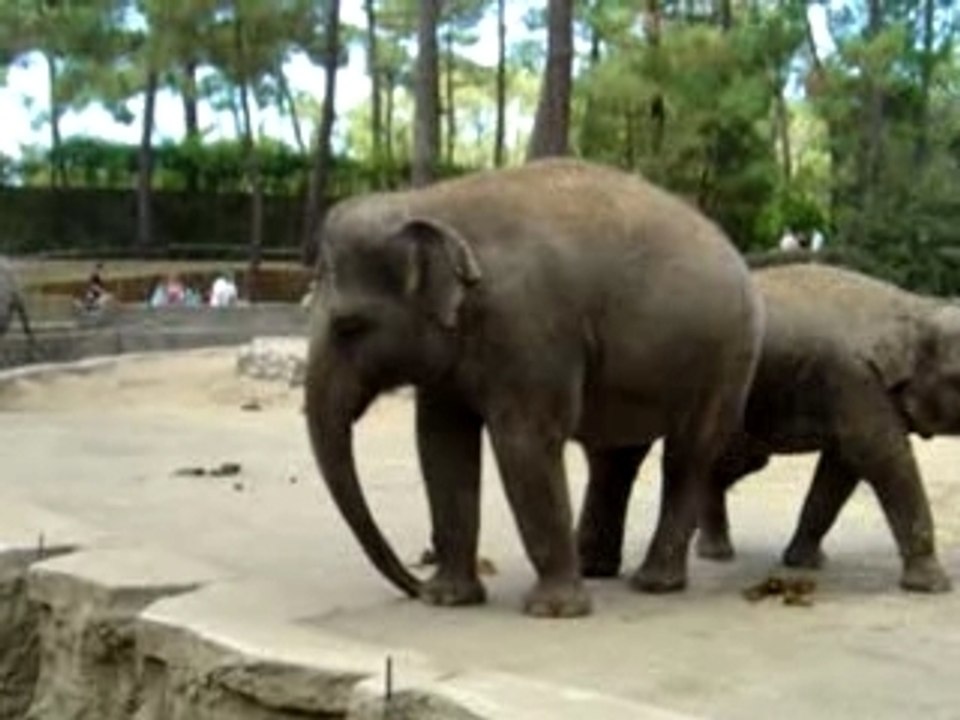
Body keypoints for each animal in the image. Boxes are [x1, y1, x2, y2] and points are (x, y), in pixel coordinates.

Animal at [304, 158, 764, 618]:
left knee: (688, 454)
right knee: (614, 457)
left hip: (727, 357)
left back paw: (653, 584)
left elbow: (524, 442)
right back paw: (595, 568)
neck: (430, 202)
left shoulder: (530, 328)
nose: (414, 583)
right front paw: (446, 599)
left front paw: (552, 611)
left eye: (349, 325)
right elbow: (441, 445)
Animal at [578, 263, 956, 593]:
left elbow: (839, 471)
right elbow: (882, 458)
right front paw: (935, 587)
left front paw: (804, 563)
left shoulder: (851, 395)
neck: (916, 306)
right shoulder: (855, 383)